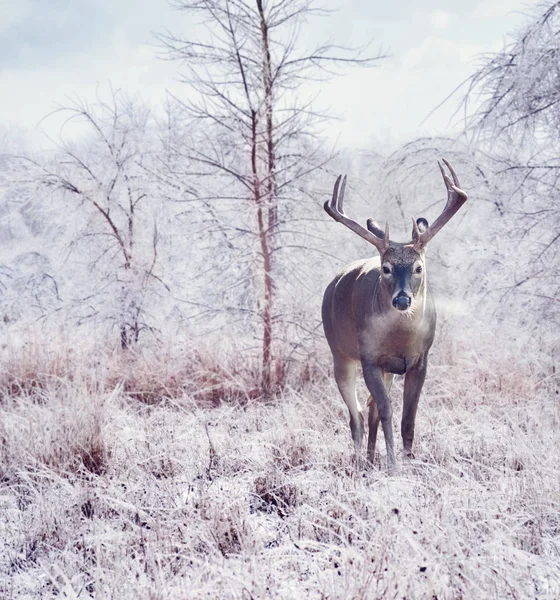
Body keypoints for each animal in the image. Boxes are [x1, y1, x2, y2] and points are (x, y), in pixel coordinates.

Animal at [322, 162, 466, 472]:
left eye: (418, 267)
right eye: (386, 268)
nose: (402, 299)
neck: (401, 339)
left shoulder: (420, 359)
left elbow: (407, 417)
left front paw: (409, 461)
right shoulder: (370, 359)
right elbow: (387, 410)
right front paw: (393, 465)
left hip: (387, 369)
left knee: (369, 409)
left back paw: (370, 458)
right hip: (340, 353)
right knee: (357, 415)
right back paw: (358, 462)